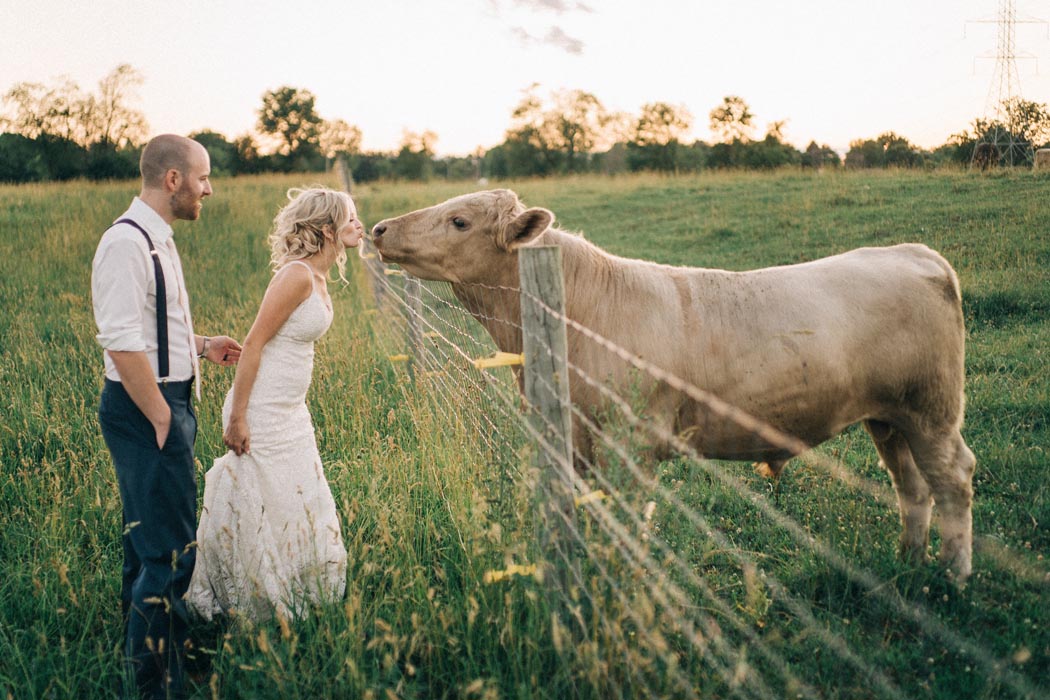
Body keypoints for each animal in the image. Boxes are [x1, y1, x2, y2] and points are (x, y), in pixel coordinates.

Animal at [371, 188, 974, 583]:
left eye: (459, 221)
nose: (379, 229)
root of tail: (913, 253)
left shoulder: (631, 441)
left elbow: (624, 520)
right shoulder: (577, 438)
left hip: (932, 410)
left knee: (953, 481)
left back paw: (953, 576)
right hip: (889, 418)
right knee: (911, 486)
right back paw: (909, 562)